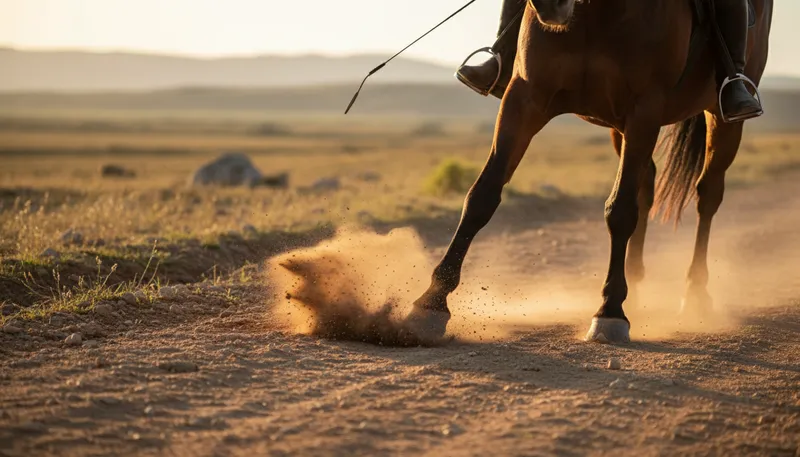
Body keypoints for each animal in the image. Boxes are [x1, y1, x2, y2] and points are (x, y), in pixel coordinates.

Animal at [403, 0, 774, 344]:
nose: (550, 5)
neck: (593, 13)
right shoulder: (524, 98)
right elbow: (482, 195)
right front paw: (430, 304)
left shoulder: (644, 109)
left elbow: (620, 211)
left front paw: (610, 313)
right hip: (618, 130)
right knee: (646, 184)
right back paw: (635, 285)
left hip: (719, 120)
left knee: (707, 196)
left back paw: (694, 293)